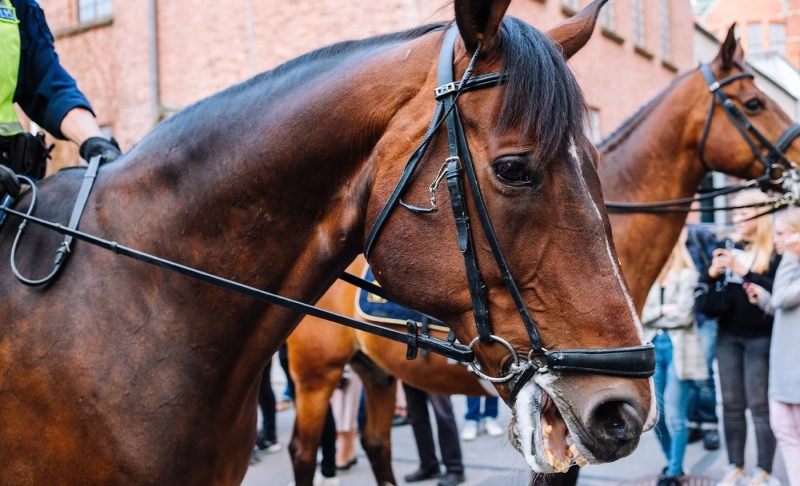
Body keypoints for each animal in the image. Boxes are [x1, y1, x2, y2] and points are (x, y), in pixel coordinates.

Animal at [286, 22, 800, 486]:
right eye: (755, 103)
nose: (798, 162)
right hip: (315, 376)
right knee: (303, 451)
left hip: (373, 373)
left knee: (375, 442)